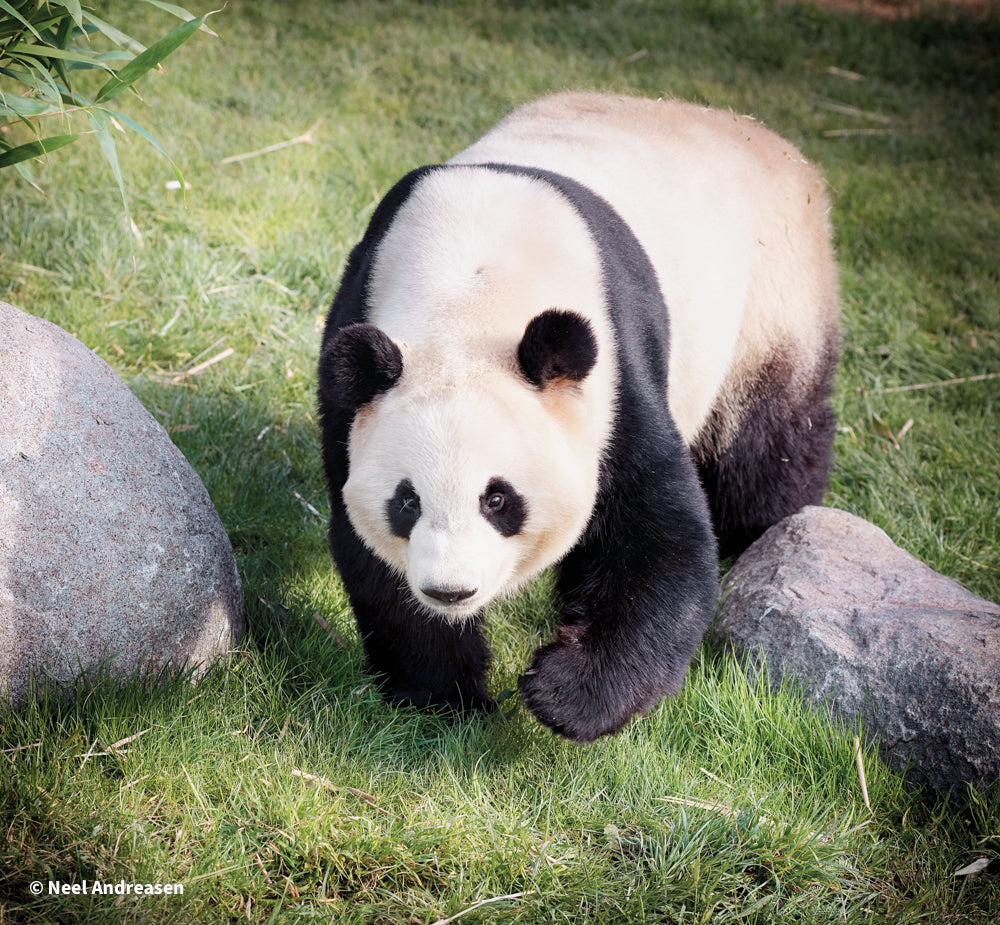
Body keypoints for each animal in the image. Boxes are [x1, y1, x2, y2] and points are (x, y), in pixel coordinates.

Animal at [317, 93, 840, 743]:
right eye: (406, 501)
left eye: (498, 499)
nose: (451, 590)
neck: (470, 289)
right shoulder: (355, 357)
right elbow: (368, 552)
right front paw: (444, 695)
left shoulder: (614, 375)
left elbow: (656, 537)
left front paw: (563, 691)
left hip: (773, 302)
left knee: (768, 444)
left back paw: (760, 532)